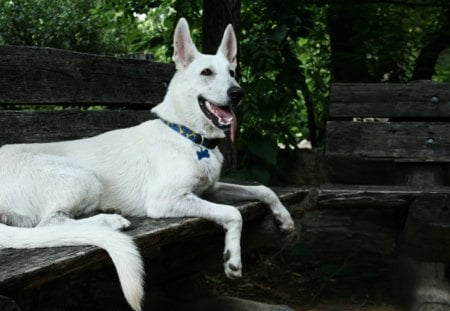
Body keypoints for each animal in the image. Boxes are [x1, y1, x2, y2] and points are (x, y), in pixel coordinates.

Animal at [0, 18, 296, 310]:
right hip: (83, 178)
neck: (188, 134)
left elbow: (263, 189)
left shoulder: (210, 189)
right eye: (206, 72)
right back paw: (109, 220)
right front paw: (233, 259)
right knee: (48, 224)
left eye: (232, 72)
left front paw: (284, 218)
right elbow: (233, 213)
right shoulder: (165, 200)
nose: (237, 93)